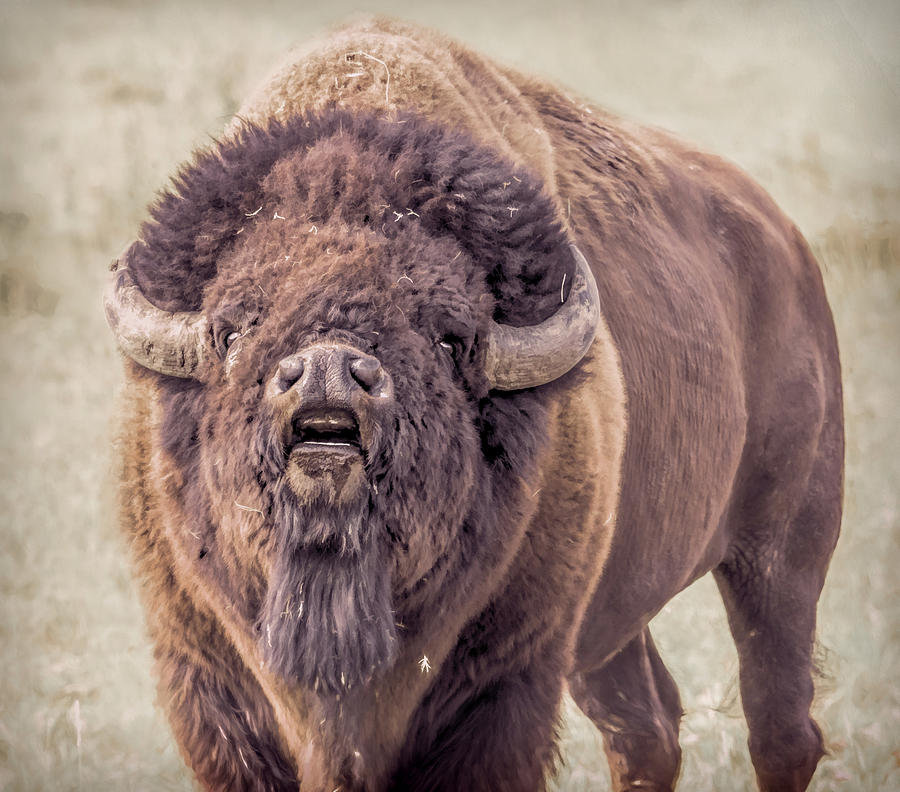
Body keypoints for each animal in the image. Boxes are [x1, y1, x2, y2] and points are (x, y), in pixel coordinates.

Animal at [105, 17, 844, 792]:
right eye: (231, 329)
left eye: (448, 336)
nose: (329, 370)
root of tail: (788, 247)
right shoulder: (205, 679)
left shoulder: (503, 688)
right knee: (646, 725)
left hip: (784, 554)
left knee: (780, 723)